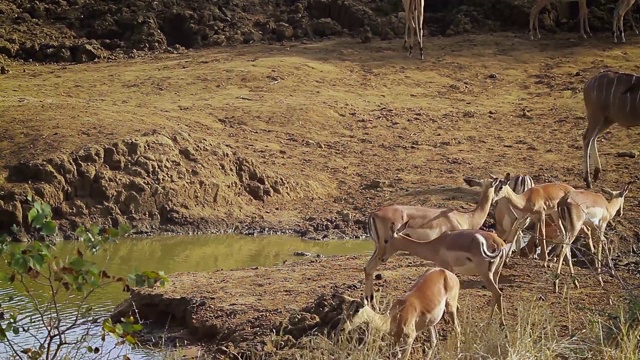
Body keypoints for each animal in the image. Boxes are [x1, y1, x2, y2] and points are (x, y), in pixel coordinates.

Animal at [378, 221, 508, 324]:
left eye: (386, 240)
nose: (381, 258)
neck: (436, 245)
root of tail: (499, 243)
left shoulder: (447, 268)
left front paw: (446, 317)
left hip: (486, 274)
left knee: (497, 293)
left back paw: (496, 324)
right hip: (495, 273)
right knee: (495, 295)